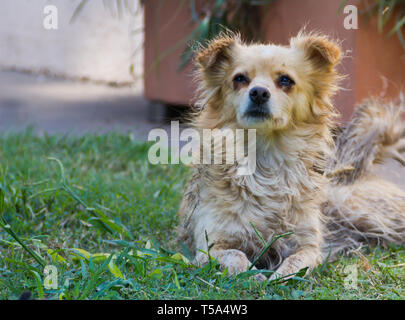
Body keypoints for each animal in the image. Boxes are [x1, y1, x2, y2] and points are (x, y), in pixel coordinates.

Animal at [178, 30, 404, 280]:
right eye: (240, 79)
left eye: (285, 80)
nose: (258, 92)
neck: (265, 159)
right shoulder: (210, 246)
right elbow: (235, 255)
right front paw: (252, 275)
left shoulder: (309, 245)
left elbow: (298, 259)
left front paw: (282, 275)